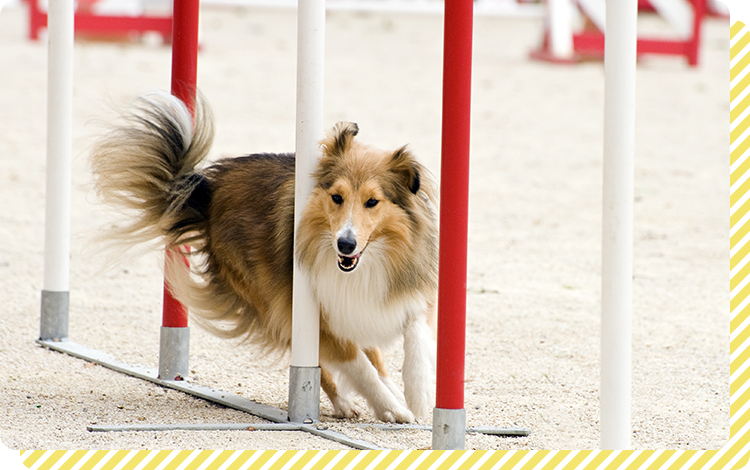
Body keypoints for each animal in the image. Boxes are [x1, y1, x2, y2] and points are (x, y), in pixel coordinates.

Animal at [90, 92, 438, 422]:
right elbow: (358, 364)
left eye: (372, 202)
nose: (346, 244)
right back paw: (347, 402)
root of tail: (208, 191)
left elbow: (414, 334)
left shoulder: (389, 296)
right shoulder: (315, 312)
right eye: (337, 197)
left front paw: (417, 393)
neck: (366, 262)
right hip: (272, 298)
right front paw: (391, 408)